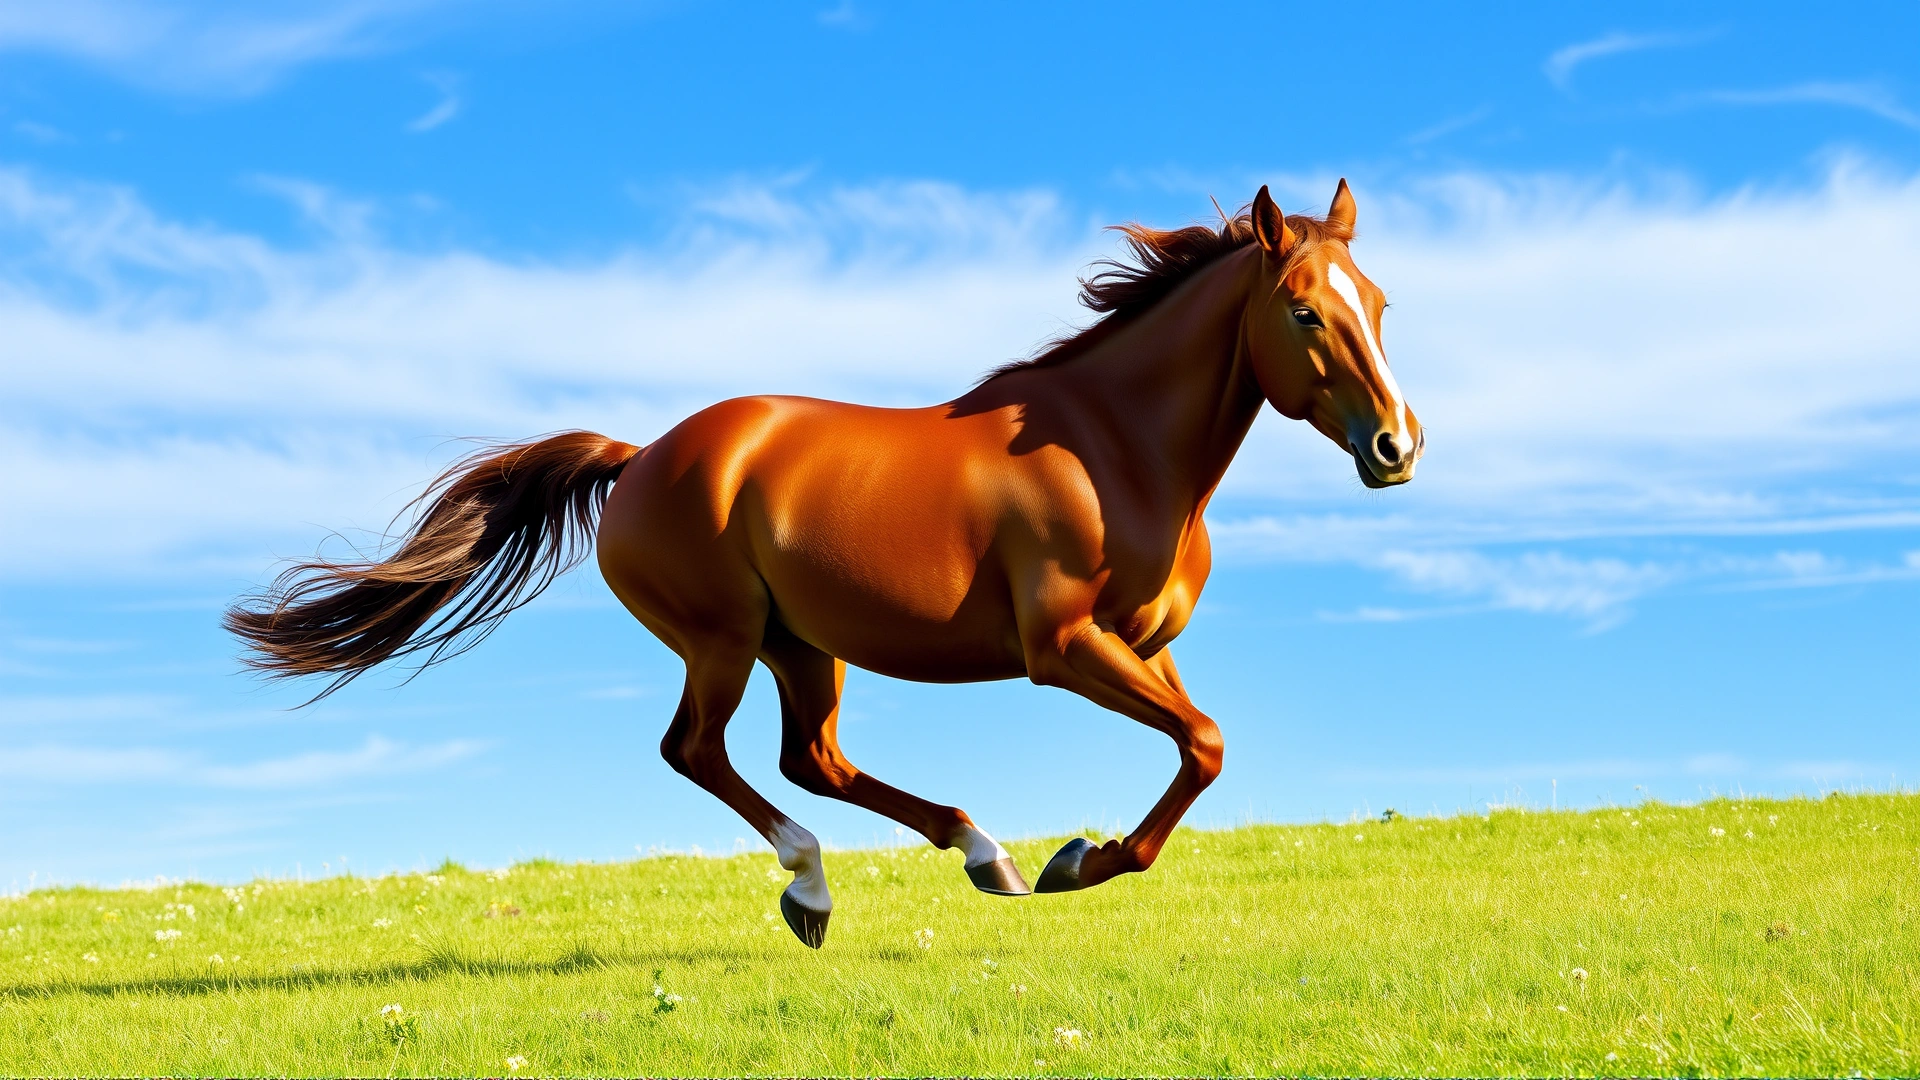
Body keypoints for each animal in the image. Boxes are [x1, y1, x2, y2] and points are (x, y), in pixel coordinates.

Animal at [227, 181, 1423, 948]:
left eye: (1380, 305)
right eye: (1304, 313)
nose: (1395, 448)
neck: (1111, 445)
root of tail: (641, 458)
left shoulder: (1145, 645)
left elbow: (1201, 748)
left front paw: (1063, 858)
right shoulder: (1064, 647)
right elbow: (1206, 743)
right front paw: (1074, 861)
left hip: (802, 647)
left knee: (813, 759)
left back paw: (978, 853)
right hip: (720, 639)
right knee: (701, 752)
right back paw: (815, 886)